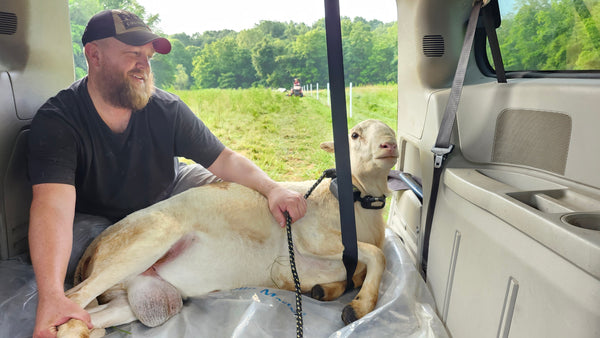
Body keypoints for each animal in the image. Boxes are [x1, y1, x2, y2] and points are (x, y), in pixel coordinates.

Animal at [56, 118, 398, 336]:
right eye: (354, 135)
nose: (390, 145)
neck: (350, 202)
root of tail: (91, 251)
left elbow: (359, 270)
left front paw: (327, 292)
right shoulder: (310, 240)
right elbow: (375, 256)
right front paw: (358, 308)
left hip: (133, 297)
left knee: (82, 319)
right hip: (144, 244)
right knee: (73, 301)